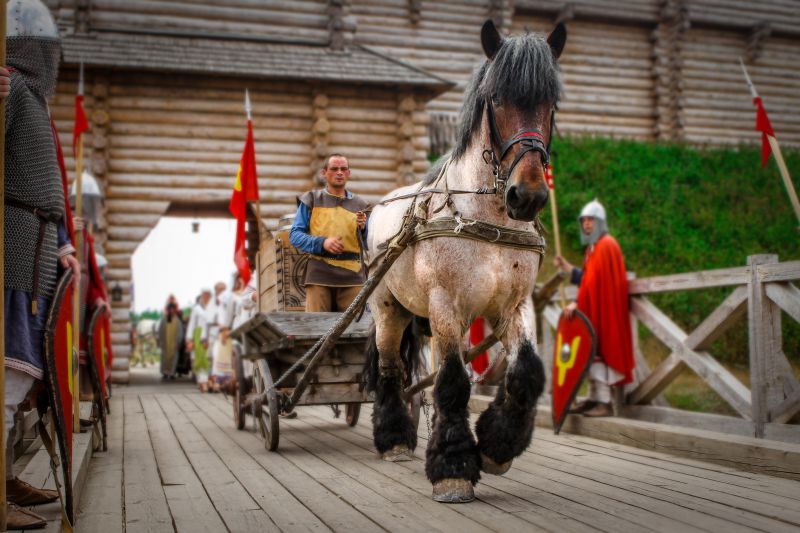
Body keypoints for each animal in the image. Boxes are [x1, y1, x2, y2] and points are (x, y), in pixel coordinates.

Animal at [366, 20, 564, 500]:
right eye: (497, 98)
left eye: (550, 102)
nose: (528, 196)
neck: (483, 217)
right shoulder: (446, 305)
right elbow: (454, 381)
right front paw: (453, 466)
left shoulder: (513, 306)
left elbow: (527, 372)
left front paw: (496, 446)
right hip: (388, 309)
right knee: (390, 369)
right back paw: (393, 438)